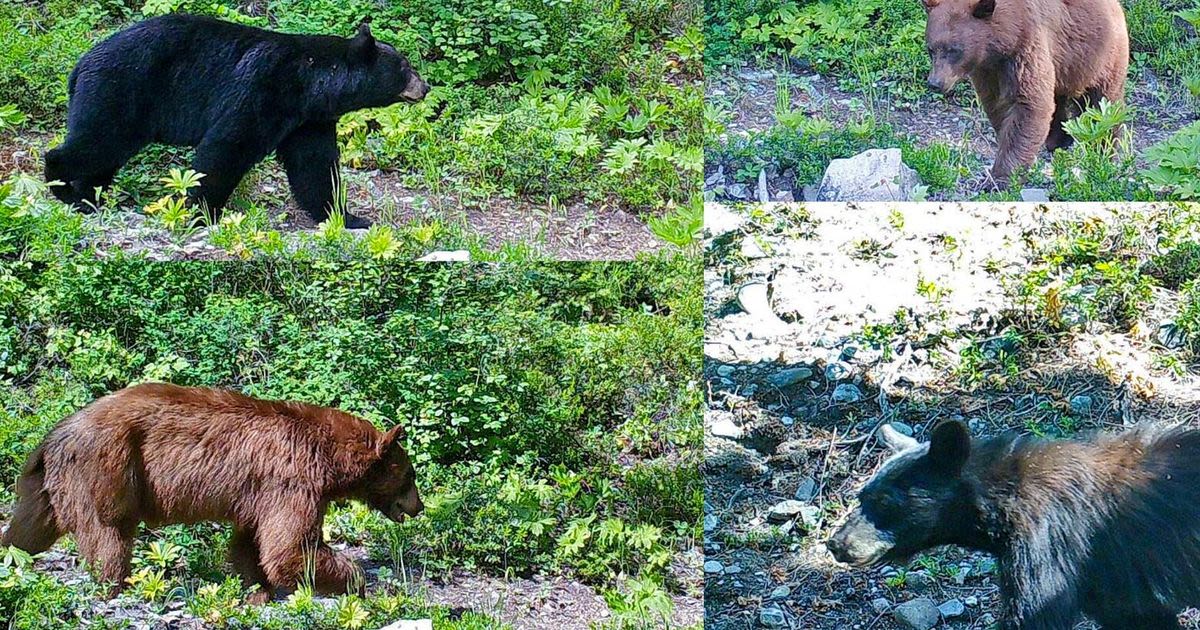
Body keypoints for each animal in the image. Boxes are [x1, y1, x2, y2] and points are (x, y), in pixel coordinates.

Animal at [0, 381, 422, 602]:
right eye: (410, 474)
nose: (418, 507)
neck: (328, 455)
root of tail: (57, 431)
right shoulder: (292, 479)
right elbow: (289, 547)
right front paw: (357, 580)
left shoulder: (261, 493)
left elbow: (252, 543)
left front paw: (258, 590)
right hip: (107, 468)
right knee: (109, 533)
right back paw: (115, 585)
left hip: (47, 483)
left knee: (28, 529)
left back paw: (13, 555)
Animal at [46, 14, 432, 228]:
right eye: (405, 66)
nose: (425, 86)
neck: (310, 83)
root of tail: (79, 65)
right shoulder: (263, 89)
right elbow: (226, 148)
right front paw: (200, 211)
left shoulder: (309, 120)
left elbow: (314, 167)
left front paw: (347, 217)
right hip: (120, 89)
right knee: (96, 142)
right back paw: (62, 186)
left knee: (103, 157)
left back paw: (87, 196)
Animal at [830, 417, 1200, 628]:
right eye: (861, 496)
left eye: (885, 501)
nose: (836, 543)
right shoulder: (1112, 584)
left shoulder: (1049, 543)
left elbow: (1035, 612)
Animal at [921, 0, 1128, 184]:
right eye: (931, 49)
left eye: (954, 50)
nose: (935, 83)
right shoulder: (988, 70)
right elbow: (998, 105)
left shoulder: (1026, 47)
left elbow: (1030, 105)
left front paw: (1000, 179)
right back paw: (1058, 140)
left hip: (1098, 57)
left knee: (1102, 105)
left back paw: (1103, 150)